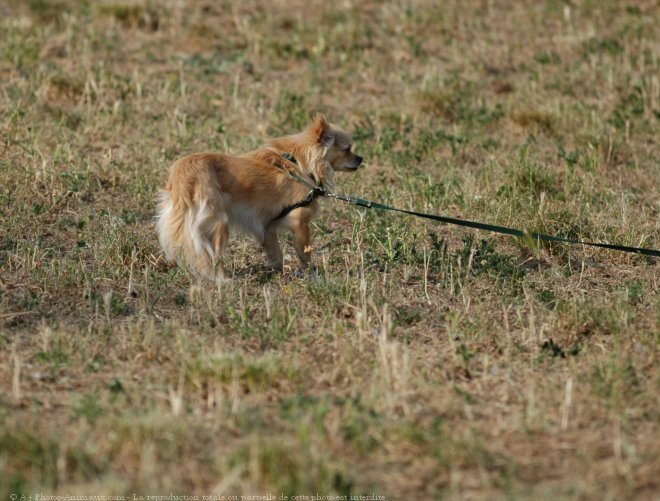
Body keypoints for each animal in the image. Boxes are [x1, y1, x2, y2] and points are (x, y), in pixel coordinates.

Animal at [156, 112, 360, 282]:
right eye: (346, 149)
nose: (361, 158)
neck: (300, 164)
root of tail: (182, 177)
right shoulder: (299, 222)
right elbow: (305, 253)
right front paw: (311, 274)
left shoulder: (267, 226)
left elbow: (276, 253)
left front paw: (277, 271)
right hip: (219, 224)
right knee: (215, 257)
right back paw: (224, 280)